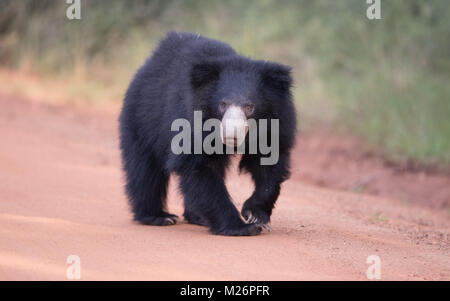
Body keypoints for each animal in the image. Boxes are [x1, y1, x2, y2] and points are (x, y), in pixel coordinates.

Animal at [118, 32, 296, 234]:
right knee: (145, 170)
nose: (231, 134)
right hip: (142, 120)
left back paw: (197, 217)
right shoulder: (191, 123)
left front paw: (255, 214)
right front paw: (242, 227)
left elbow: (267, 163)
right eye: (223, 104)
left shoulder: (276, 125)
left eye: (249, 107)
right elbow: (198, 167)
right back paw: (159, 216)